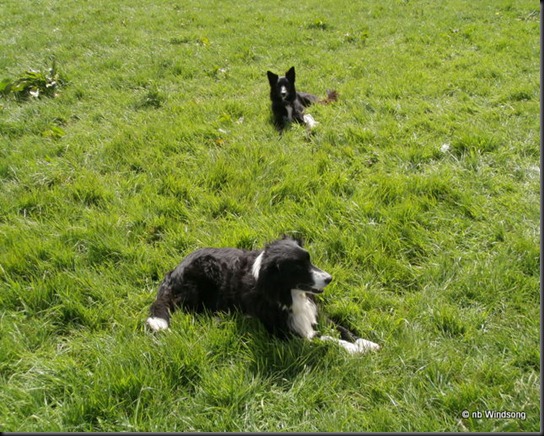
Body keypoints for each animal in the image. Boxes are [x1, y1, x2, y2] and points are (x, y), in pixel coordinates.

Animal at [146, 237, 380, 354]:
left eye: (310, 260)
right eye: (298, 268)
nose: (329, 278)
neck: (288, 294)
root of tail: (173, 272)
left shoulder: (315, 311)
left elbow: (341, 328)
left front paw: (366, 343)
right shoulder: (285, 333)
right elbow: (325, 338)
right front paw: (353, 349)